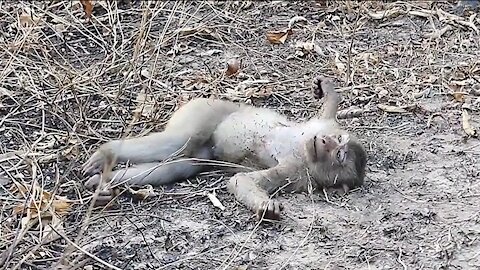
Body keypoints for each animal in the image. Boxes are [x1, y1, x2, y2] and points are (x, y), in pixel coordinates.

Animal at [82, 76, 368, 219]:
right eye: (335, 140)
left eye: (340, 155)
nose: (325, 142)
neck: (304, 151)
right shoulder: (319, 126)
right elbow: (327, 110)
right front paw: (328, 90)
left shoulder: (296, 172)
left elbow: (241, 179)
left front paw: (265, 206)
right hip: (207, 108)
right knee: (181, 140)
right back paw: (107, 156)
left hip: (204, 141)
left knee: (180, 160)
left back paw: (105, 179)